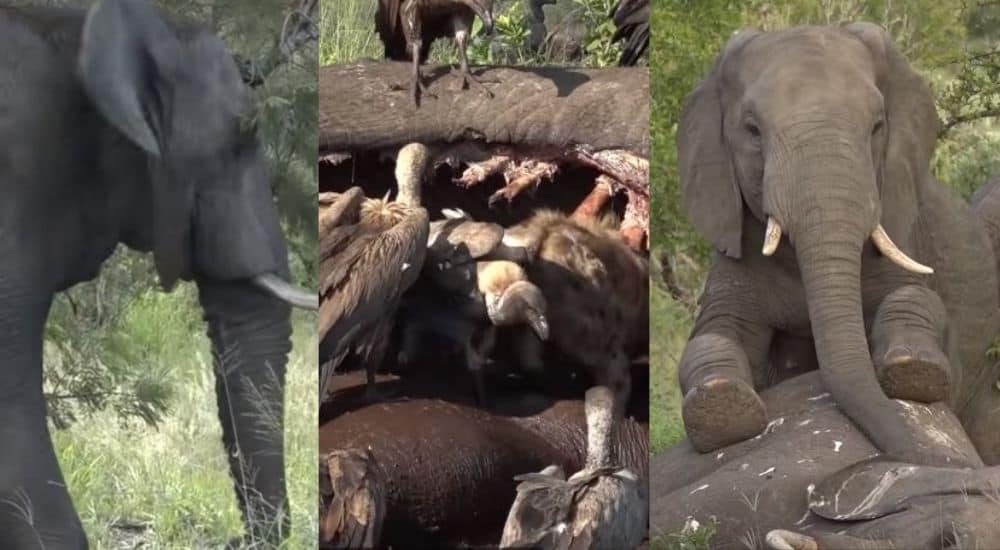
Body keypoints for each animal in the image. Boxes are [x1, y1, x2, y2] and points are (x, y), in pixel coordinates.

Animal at [675, 23, 1000, 467]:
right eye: (752, 130)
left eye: (878, 126)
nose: (907, 454)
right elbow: (713, 333)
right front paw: (720, 407)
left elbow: (920, 301)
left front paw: (914, 368)